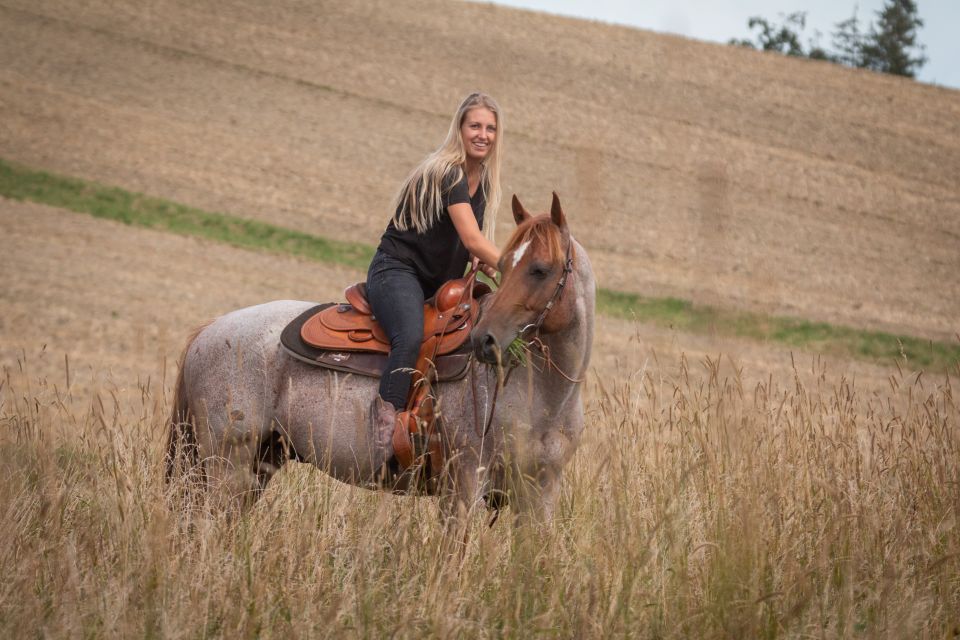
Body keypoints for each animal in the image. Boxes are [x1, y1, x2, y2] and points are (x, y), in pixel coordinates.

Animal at [169, 192, 596, 528]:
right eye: (506, 265)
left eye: (540, 269)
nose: (483, 340)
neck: (543, 396)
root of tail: (208, 331)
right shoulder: (464, 485)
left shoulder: (539, 493)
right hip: (226, 463)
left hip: (261, 461)